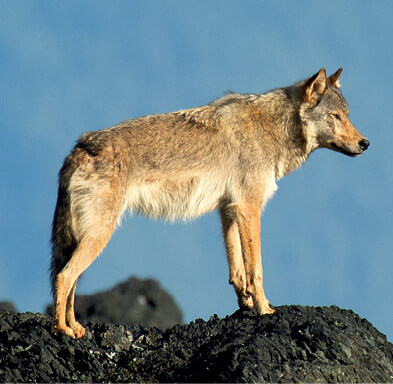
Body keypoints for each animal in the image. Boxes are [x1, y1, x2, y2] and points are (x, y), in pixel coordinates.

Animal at [50, 67, 370, 338]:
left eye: (348, 114)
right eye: (335, 116)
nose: (366, 143)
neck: (273, 128)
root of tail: (79, 148)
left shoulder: (228, 209)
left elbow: (236, 268)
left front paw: (245, 305)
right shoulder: (249, 208)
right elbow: (256, 269)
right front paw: (264, 309)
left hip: (81, 239)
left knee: (69, 280)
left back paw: (75, 327)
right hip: (99, 236)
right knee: (64, 277)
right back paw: (61, 330)